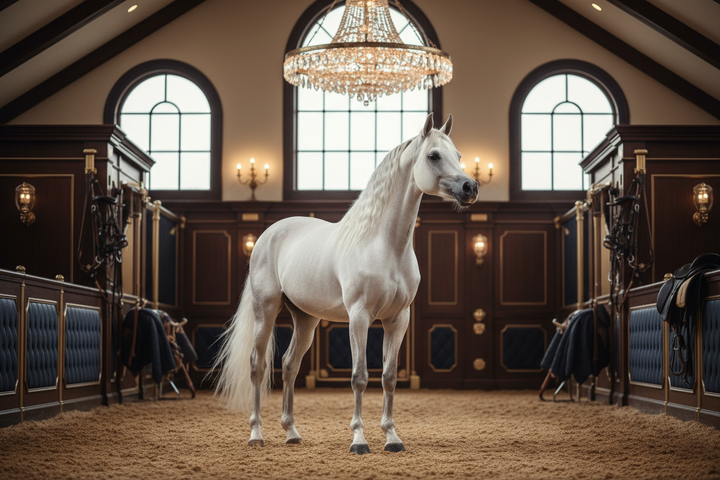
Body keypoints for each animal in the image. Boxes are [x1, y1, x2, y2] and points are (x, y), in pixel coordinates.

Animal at [213, 113, 478, 454]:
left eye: (457, 155)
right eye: (433, 155)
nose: (470, 187)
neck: (384, 246)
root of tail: (268, 234)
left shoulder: (398, 319)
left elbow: (389, 377)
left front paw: (392, 438)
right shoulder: (359, 317)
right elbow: (359, 377)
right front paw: (359, 440)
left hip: (305, 318)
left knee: (289, 365)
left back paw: (292, 433)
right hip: (266, 310)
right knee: (258, 366)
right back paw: (256, 434)